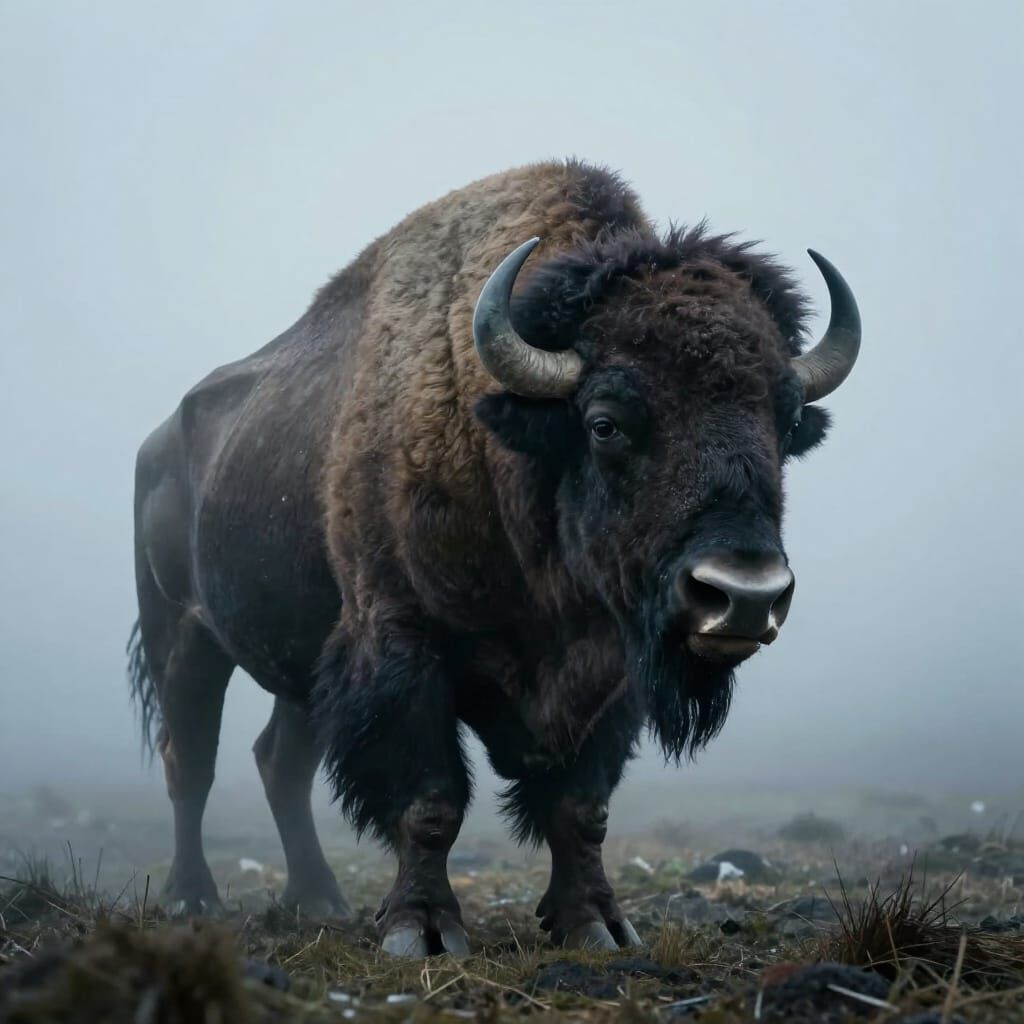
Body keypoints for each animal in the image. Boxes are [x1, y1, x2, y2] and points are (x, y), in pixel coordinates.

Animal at [128, 159, 860, 955]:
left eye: (787, 421)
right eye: (605, 423)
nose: (745, 595)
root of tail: (159, 440)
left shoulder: (609, 676)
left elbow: (581, 808)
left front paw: (597, 925)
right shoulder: (401, 649)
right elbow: (431, 801)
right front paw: (421, 929)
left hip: (296, 664)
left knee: (278, 763)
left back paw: (318, 897)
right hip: (183, 638)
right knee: (190, 763)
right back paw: (191, 897)